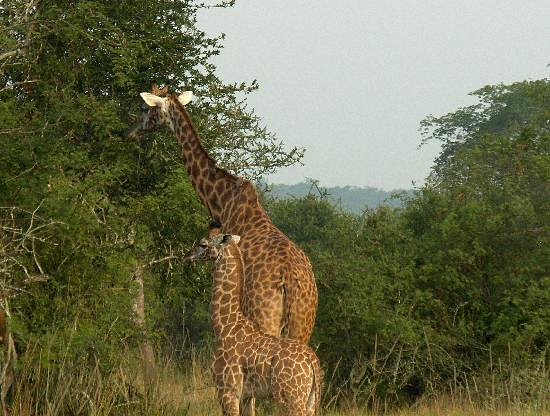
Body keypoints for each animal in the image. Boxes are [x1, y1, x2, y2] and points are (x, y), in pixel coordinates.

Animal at [130, 84, 320, 344]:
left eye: (143, 108)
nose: (131, 133)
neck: (223, 201)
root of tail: (290, 282)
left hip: (265, 317)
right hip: (303, 325)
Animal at [185, 228, 324, 416]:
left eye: (203, 244)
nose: (187, 255)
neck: (224, 324)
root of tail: (312, 361)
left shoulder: (227, 390)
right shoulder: (246, 395)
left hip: (291, 397)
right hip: (310, 399)